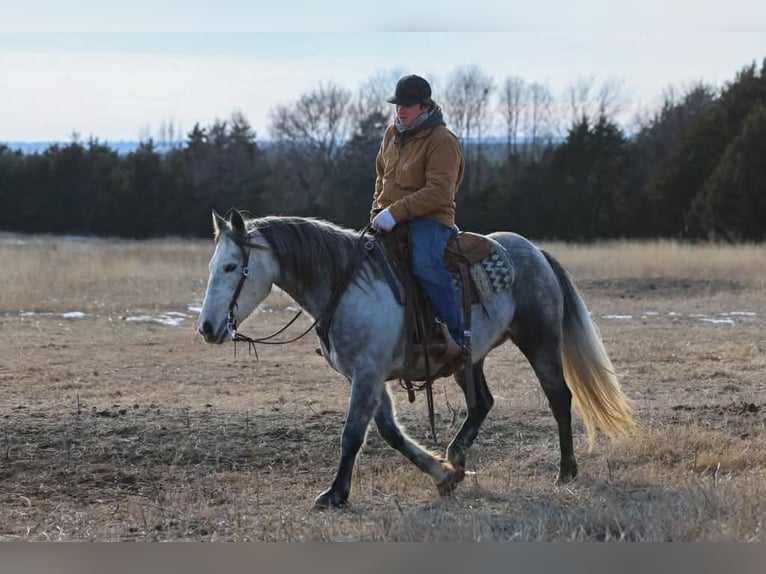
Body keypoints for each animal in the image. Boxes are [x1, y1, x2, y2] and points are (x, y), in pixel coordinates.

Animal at [197, 209, 634, 509]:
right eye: (212, 265)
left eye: (232, 266)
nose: (207, 327)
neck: (346, 285)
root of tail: (536, 251)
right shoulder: (366, 375)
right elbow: (389, 431)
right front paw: (442, 474)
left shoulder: (368, 372)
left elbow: (353, 434)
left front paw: (335, 493)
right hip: (470, 360)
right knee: (482, 402)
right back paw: (457, 455)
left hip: (539, 341)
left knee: (559, 398)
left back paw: (566, 471)